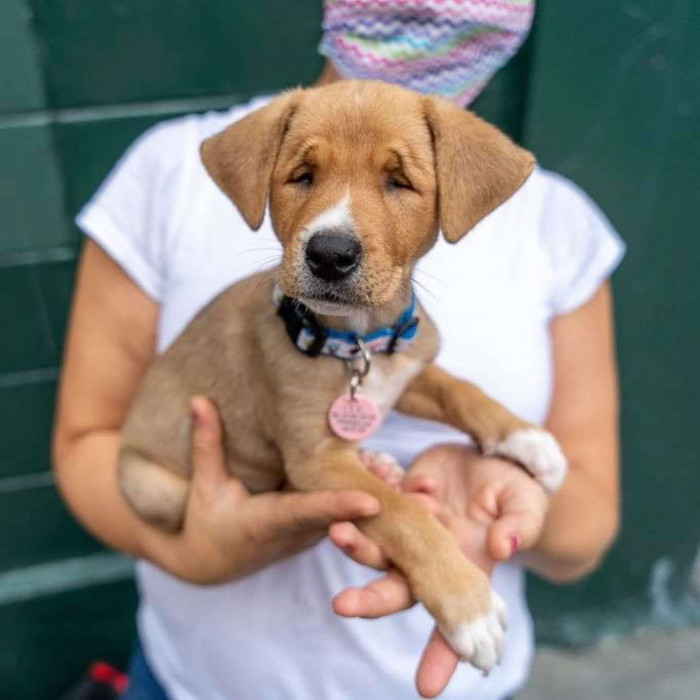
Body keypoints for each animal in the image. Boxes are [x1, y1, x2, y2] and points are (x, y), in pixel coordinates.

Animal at [119, 80, 568, 672]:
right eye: (302, 175)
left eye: (398, 181)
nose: (330, 254)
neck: (357, 343)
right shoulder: (316, 459)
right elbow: (406, 516)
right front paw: (468, 606)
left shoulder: (407, 371)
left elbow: (459, 389)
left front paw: (525, 438)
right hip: (153, 487)